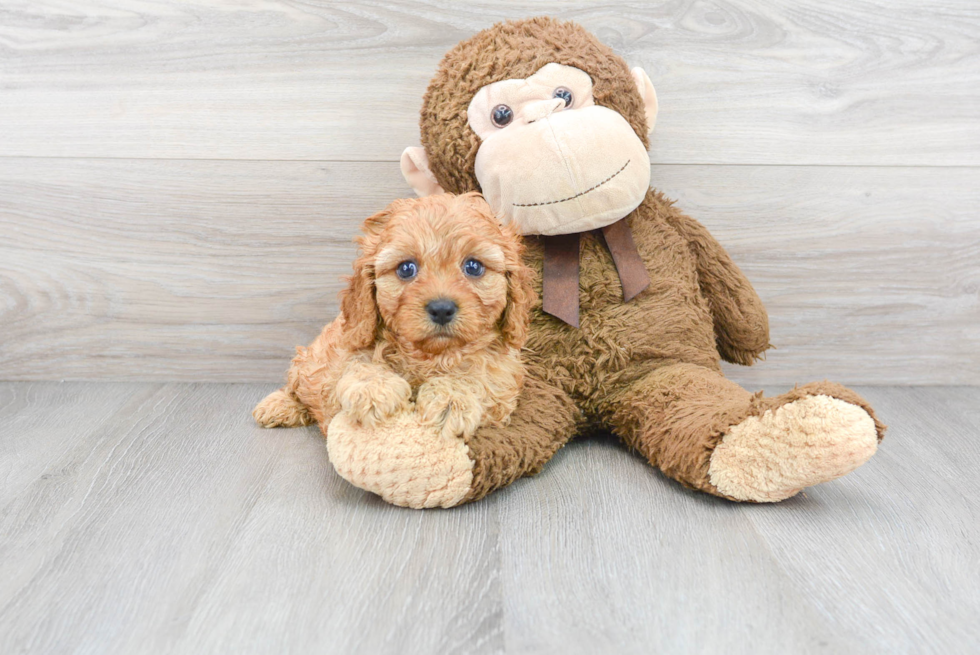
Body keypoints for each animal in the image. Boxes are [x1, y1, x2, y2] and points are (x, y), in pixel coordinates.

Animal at [249, 192, 532, 444]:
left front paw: (452, 398)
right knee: (296, 385)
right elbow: (356, 364)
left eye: (473, 267)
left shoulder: (502, 378)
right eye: (406, 269)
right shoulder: (348, 343)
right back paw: (279, 406)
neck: (431, 357)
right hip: (308, 358)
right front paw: (373, 391)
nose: (441, 308)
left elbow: (479, 375)